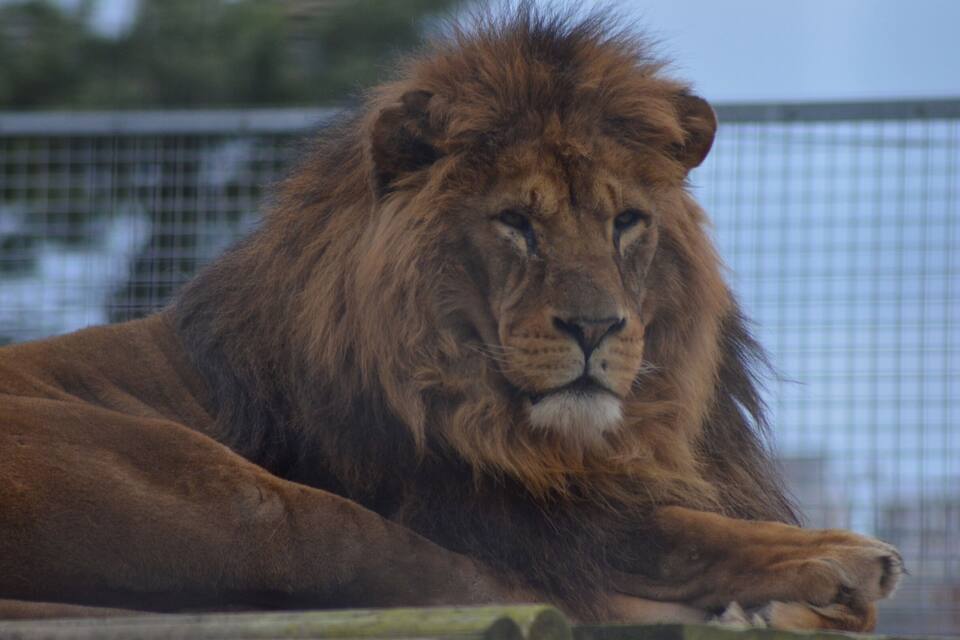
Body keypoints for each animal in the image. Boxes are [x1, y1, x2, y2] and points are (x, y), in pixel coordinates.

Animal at [0, 7, 901, 631]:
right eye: (516, 222)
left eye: (625, 222)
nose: (595, 329)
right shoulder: (488, 509)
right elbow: (662, 531)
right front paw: (839, 560)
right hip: (224, 492)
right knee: (481, 585)